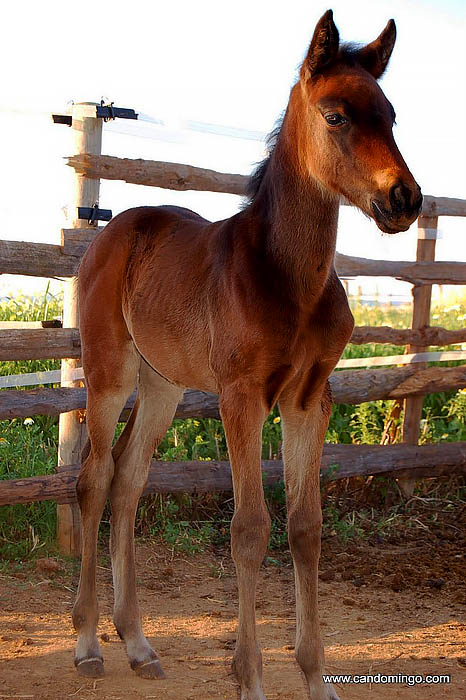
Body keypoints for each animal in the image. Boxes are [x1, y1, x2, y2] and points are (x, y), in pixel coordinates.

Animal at [73, 10, 422, 700]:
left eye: (391, 115)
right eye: (337, 115)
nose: (405, 199)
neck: (289, 278)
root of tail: (113, 230)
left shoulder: (309, 400)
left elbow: (306, 527)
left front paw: (317, 678)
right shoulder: (242, 399)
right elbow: (250, 530)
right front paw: (250, 678)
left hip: (163, 385)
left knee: (128, 481)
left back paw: (138, 643)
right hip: (109, 375)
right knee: (94, 480)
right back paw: (88, 643)